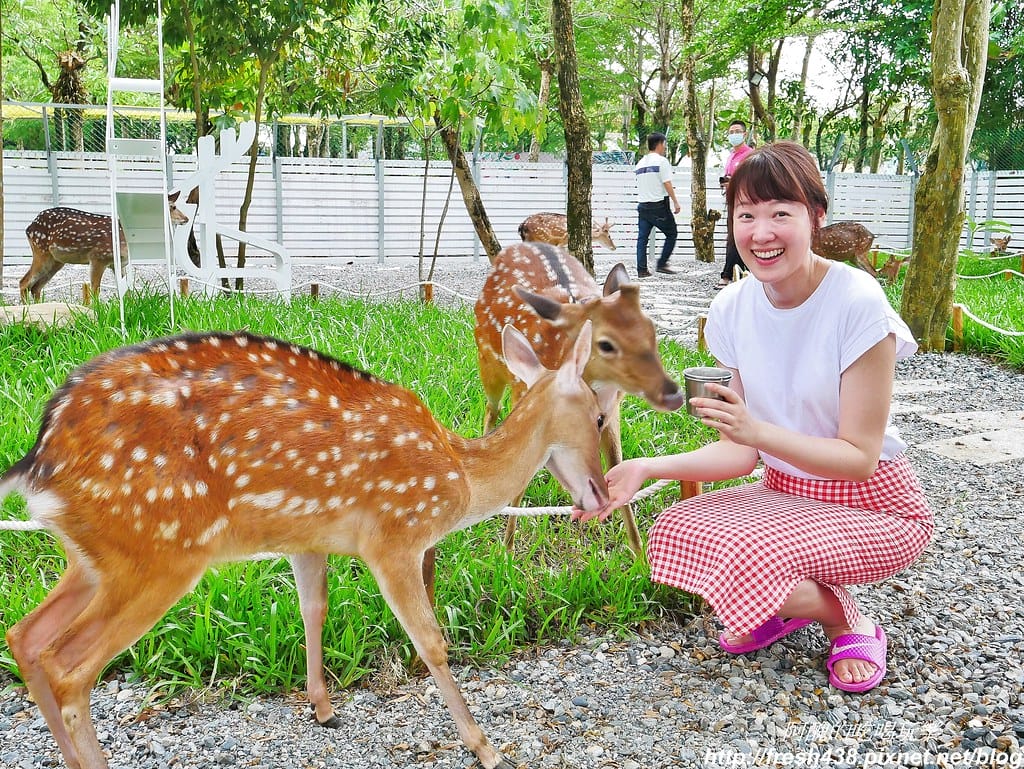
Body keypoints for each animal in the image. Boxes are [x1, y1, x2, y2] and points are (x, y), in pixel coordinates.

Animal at [0, 323, 611, 769]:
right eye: (601, 415)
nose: (602, 495)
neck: (459, 475)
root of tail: (38, 462)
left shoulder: (307, 537)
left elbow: (312, 608)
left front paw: (322, 707)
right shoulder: (394, 534)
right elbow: (432, 642)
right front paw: (484, 747)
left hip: (95, 554)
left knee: (26, 635)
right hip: (159, 553)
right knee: (68, 665)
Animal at [20, 195, 190, 303]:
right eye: (173, 207)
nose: (186, 219)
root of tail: (29, 227)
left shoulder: (118, 263)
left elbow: (125, 289)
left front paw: (131, 306)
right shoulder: (98, 257)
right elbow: (95, 290)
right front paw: (97, 314)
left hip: (56, 261)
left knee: (35, 287)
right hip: (41, 251)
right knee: (24, 282)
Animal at [467, 241, 684, 559]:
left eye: (651, 328)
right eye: (605, 344)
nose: (674, 394)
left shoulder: (612, 414)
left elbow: (616, 467)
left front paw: (640, 556)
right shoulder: (526, 393)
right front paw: (506, 551)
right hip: (487, 360)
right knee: (490, 410)